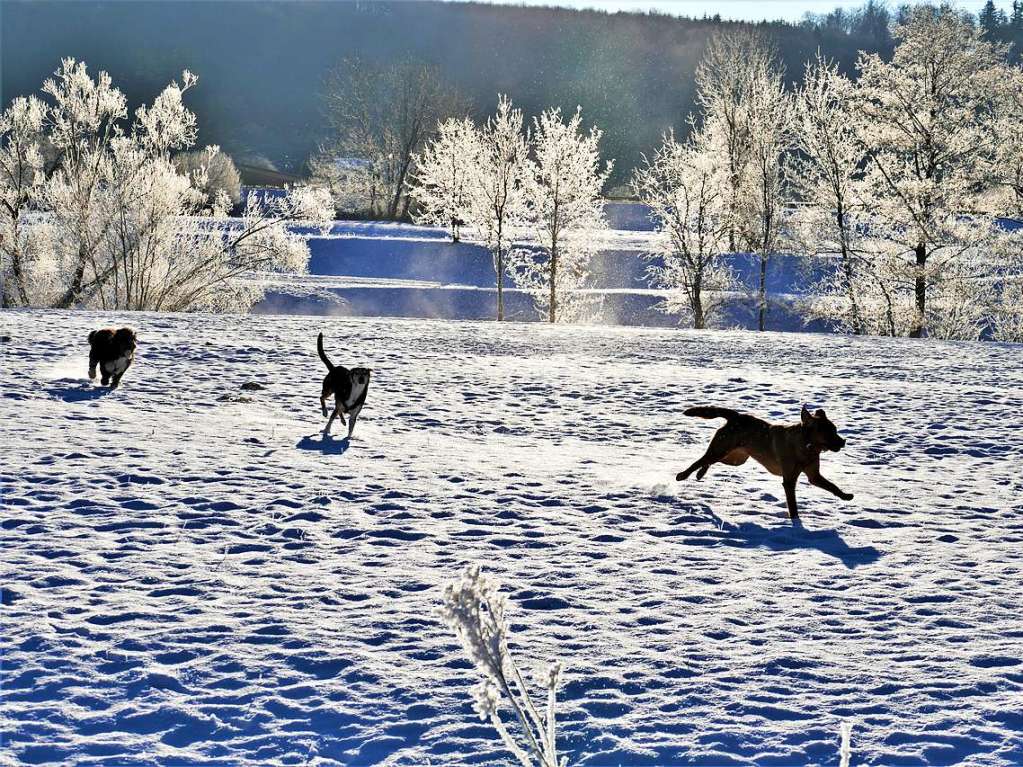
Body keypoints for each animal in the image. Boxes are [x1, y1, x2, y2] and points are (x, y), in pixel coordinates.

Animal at [679, 404, 855, 519]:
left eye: (835, 430)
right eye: (828, 432)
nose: (843, 442)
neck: (807, 446)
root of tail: (736, 416)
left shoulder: (814, 476)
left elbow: (832, 486)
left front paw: (845, 496)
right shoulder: (789, 480)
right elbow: (792, 504)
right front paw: (796, 523)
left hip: (735, 458)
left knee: (707, 461)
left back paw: (700, 474)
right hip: (721, 449)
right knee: (700, 460)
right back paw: (683, 475)